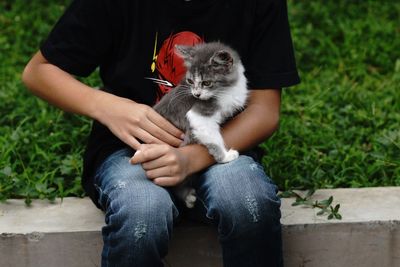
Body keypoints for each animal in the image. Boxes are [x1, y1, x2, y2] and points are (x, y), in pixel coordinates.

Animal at [153, 42, 247, 209]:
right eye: (190, 81)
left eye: (206, 83)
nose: (196, 94)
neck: (227, 90)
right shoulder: (199, 116)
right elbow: (214, 138)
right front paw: (225, 156)